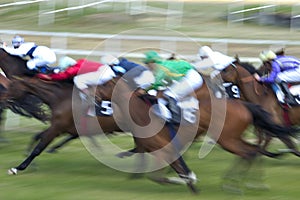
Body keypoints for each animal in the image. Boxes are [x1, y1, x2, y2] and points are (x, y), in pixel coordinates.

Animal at [95, 74, 296, 193]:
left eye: (104, 84)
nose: (94, 97)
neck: (140, 111)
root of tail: (245, 105)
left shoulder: (164, 148)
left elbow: (162, 175)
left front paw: (188, 180)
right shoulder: (164, 149)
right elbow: (164, 173)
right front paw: (189, 181)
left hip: (226, 138)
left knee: (249, 152)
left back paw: (234, 184)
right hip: (230, 138)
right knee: (253, 151)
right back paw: (246, 182)